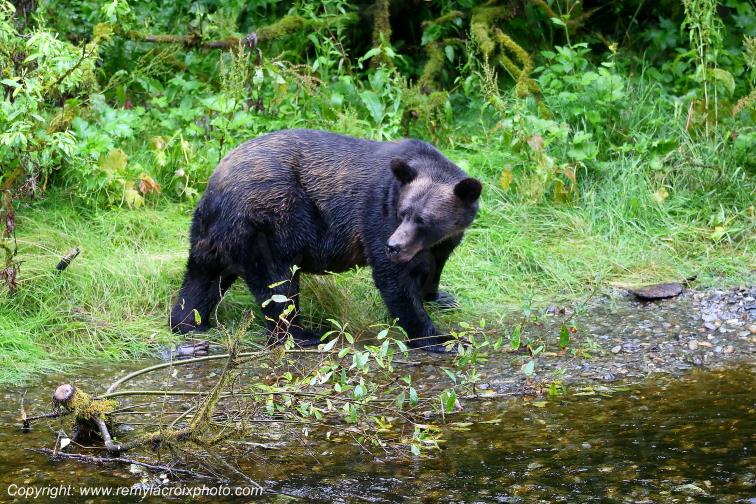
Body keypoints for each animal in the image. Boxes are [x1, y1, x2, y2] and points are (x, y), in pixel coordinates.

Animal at [169, 129, 481, 352]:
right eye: (404, 213)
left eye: (423, 220)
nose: (394, 246)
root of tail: (214, 188)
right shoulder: (377, 213)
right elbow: (394, 280)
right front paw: (439, 338)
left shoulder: (443, 241)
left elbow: (433, 267)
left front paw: (441, 296)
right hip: (272, 218)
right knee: (278, 282)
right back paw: (304, 333)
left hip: (212, 234)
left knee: (202, 278)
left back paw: (188, 322)